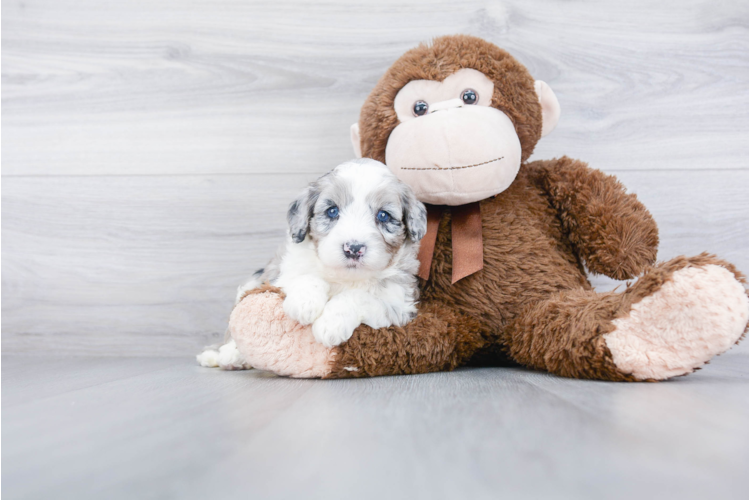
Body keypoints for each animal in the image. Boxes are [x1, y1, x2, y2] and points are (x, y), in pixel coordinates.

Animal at [197, 158, 426, 370]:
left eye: (383, 215)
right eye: (332, 211)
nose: (353, 248)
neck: (345, 277)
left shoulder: (400, 304)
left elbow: (358, 296)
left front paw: (330, 324)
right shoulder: (284, 272)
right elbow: (305, 277)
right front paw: (305, 303)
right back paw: (225, 355)